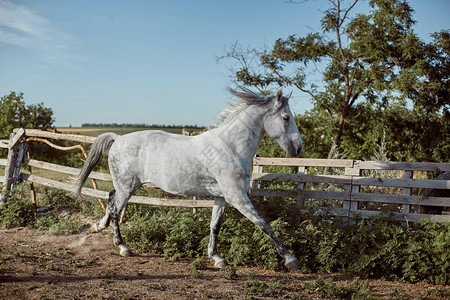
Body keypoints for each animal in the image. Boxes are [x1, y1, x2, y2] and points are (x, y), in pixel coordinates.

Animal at [75, 86, 304, 270]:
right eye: (286, 117)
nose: (298, 149)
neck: (230, 147)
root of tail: (119, 138)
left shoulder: (222, 198)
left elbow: (215, 226)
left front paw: (217, 258)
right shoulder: (237, 197)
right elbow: (264, 224)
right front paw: (291, 260)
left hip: (125, 186)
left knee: (110, 198)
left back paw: (99, 226)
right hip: (127, 186)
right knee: (115, 209)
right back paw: (123, 247)